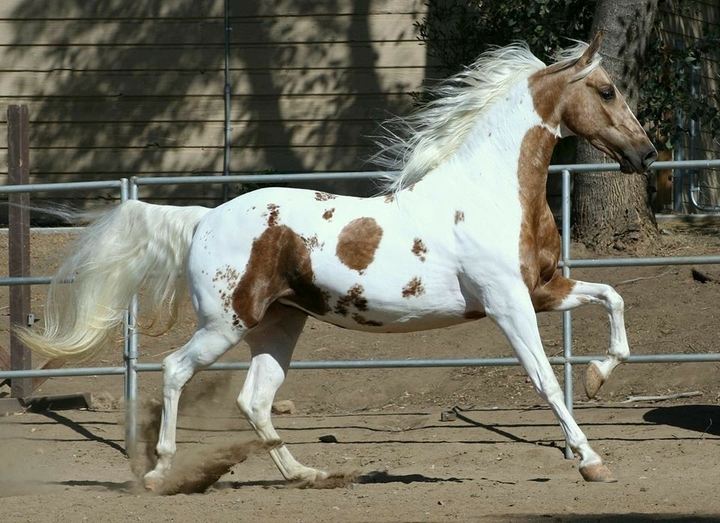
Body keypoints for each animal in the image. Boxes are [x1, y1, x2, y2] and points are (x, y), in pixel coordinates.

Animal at [18, 32, 657, 489]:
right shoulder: (508, 303)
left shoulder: (544, 288)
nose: (646, 154)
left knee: (255, 400)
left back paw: (306, 475)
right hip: (226, 322)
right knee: (176, 370)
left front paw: (597, 377)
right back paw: (159, 472)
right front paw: (592, 460)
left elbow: (615, 301)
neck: (489, 191)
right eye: (606, 91)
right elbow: (546, 381)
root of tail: (203, 217)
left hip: (279, 323)